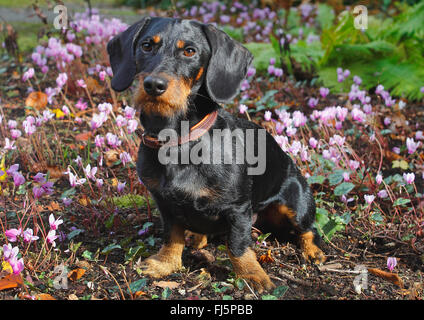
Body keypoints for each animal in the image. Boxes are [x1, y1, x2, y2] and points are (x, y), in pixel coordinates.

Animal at [107, 16, 324, 292]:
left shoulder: (237, 208)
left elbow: (238, 245)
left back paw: (312, 251)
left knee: (308, 230)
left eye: (190, 51)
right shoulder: (164, 203)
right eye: (146, 46)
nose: (154, 85)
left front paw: (251, 275)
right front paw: (165, 263)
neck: (180, 141)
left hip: (296, 203)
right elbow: (172, 235)